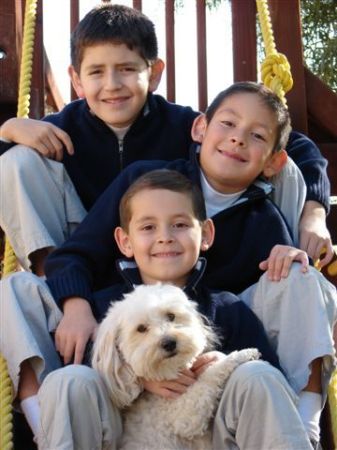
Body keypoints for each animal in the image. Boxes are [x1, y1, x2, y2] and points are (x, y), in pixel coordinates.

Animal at [92, 284, 260, 448]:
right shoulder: (185, 416)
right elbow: (208, 375)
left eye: (171, 316)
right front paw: (243, 353)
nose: (169, 343)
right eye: (141, 328)